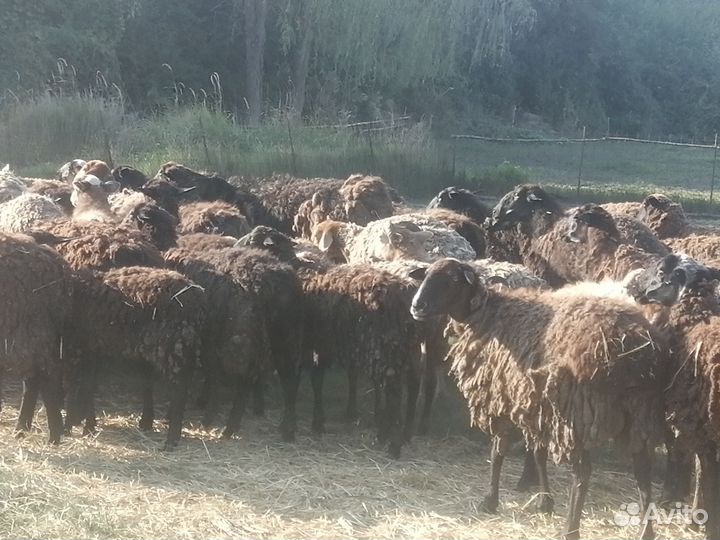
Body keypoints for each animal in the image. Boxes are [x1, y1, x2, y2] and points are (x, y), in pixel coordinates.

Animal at [411, 258, 667, 540]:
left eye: (454, 278)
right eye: (426, 275)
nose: (417, 305)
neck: (488, 315)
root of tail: (635, 348)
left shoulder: (503, 398)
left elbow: (498, 450)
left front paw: (490, 500)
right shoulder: (533, 403)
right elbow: (538, 452)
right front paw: (544, 501)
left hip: (578, 412)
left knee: (583, 473)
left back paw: (570, 529)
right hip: (639, 412)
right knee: (642, 470)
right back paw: (646, 531)